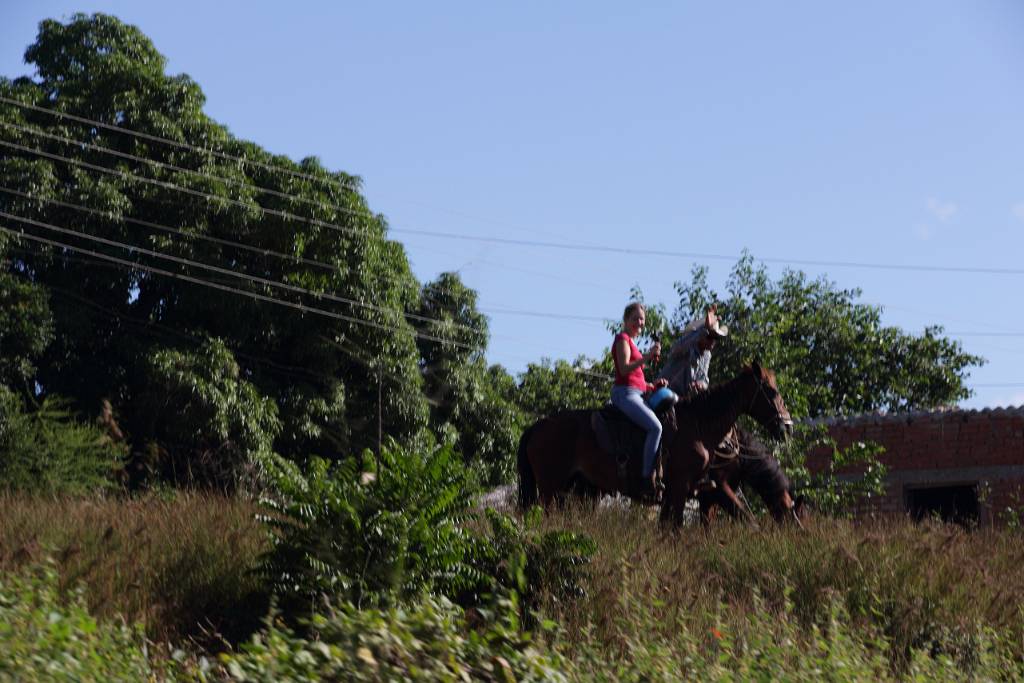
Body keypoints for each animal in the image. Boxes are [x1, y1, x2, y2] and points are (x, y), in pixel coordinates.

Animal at [520, 366, 790, 528]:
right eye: (771, 390)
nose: (787, 426)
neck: (698, 424)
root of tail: (536, 426)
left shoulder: (692, 492)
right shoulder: (692, 487)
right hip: (551, 489)